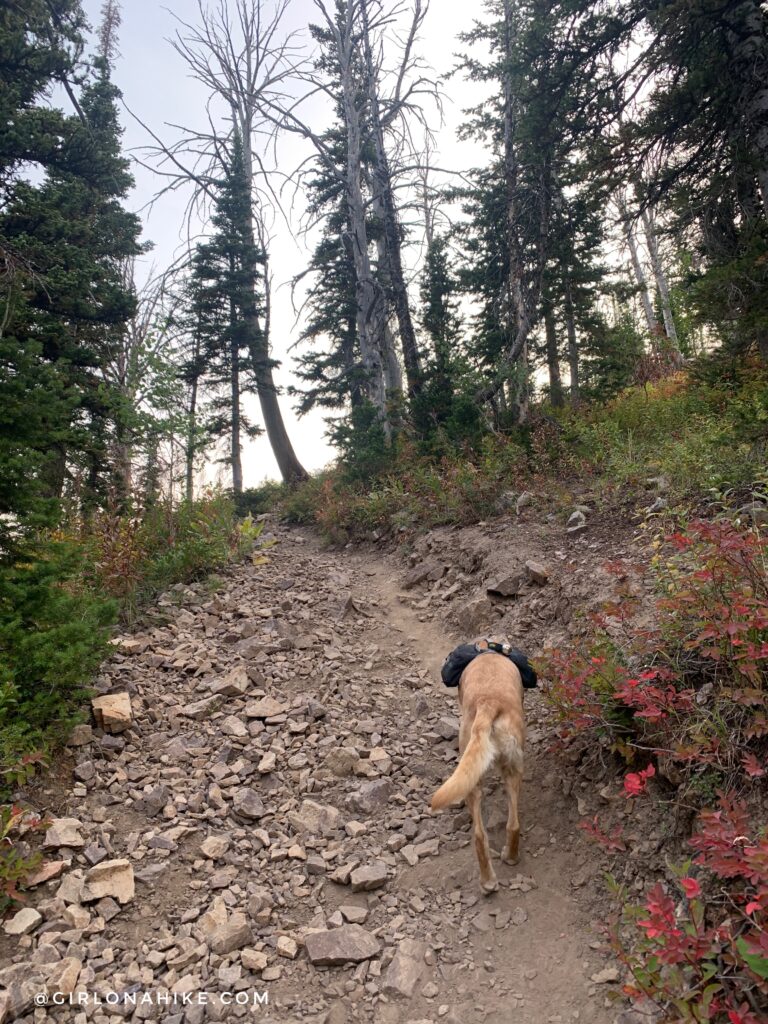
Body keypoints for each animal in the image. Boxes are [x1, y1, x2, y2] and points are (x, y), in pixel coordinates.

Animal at [430, 651, 528, 892]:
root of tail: (489, 703)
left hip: (471, 777)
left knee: (479, 835)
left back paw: (487, 881)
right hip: (513, 768)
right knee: (513, 824)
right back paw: (510, 858)